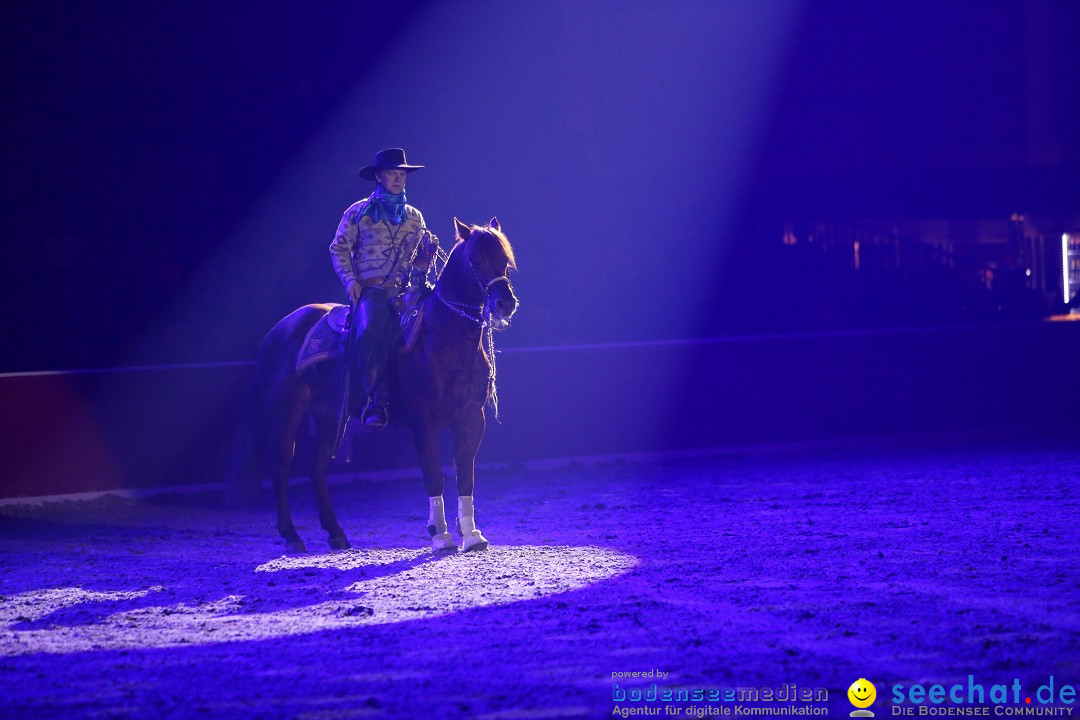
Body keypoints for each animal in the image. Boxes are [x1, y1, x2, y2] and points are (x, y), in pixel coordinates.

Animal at [235, 213, 518, 552]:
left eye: (505, 260)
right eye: (475, 260)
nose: (504, 303)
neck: (443, 340)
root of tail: (278, 330)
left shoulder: (471, 419)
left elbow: (465, 476)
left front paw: (472, 535)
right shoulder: (424, 422)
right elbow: (434, 476)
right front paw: (440, 536)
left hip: (326, 415)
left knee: (317, 467)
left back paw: (336, 534)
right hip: (285, 413)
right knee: (281, 467)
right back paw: (292, 537)